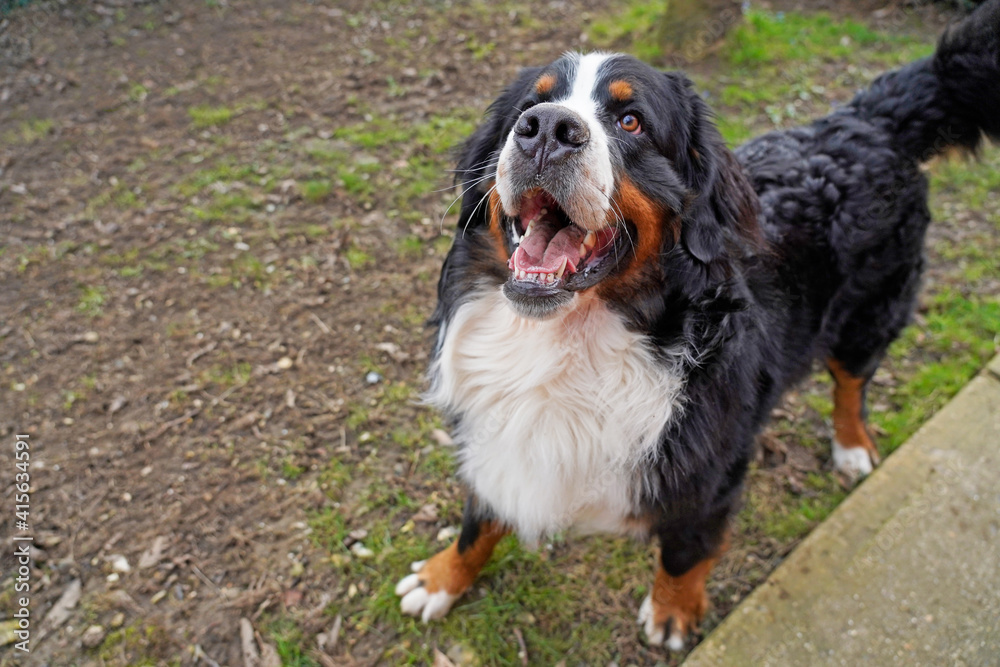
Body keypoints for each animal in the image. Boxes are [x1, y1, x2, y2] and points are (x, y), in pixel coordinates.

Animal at [395, 1, 1000, 650]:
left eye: (631, 121)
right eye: (528, 108)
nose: (545, 128)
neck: (568, 341)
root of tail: (865, 119)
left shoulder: (712, 473)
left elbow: (685, 554)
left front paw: (672, 614)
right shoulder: (497, 437)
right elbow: (478, 520)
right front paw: (441, 579)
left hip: (870, 313)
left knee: (851, 383)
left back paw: (853, 447)